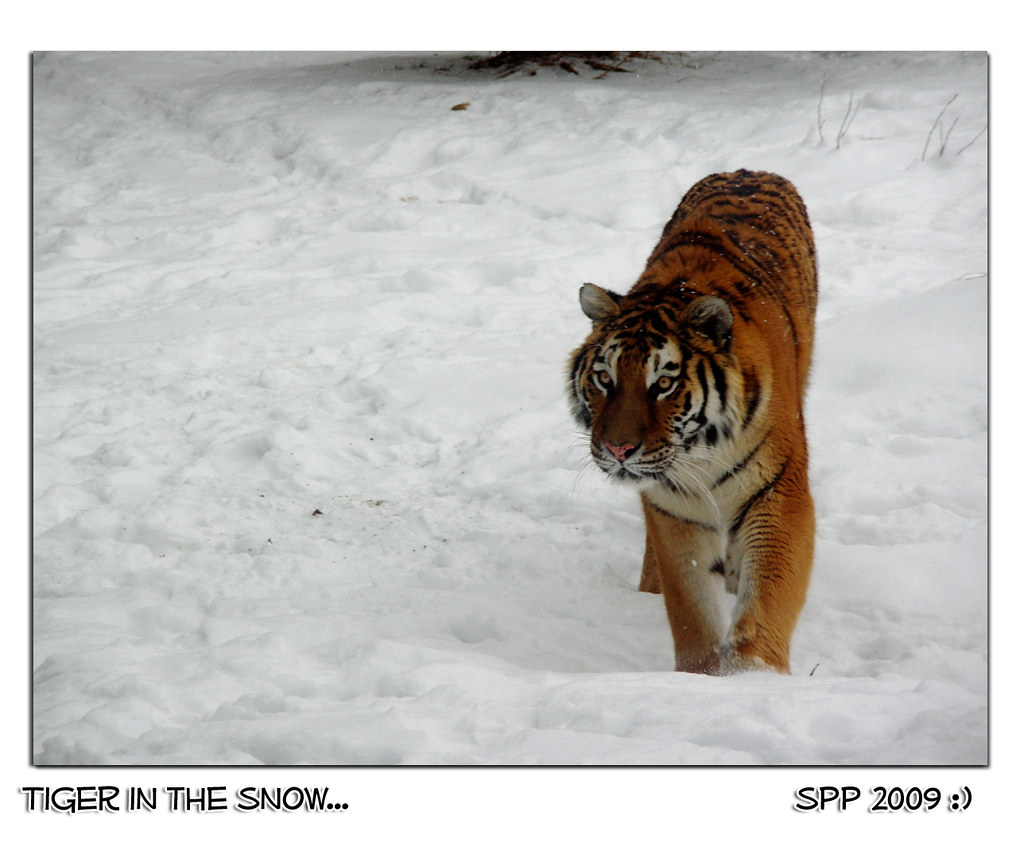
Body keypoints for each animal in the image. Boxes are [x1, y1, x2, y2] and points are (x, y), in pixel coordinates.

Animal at [569, 167, 815, 676]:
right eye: (603, 378)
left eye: (663, 383)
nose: (619, 450)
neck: (704, 448)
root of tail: (748, 169)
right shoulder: (675, 507)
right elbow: (690, 607)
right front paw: (700, 677)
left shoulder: (779, 491)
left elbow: (769, 595)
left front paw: (753, 674)